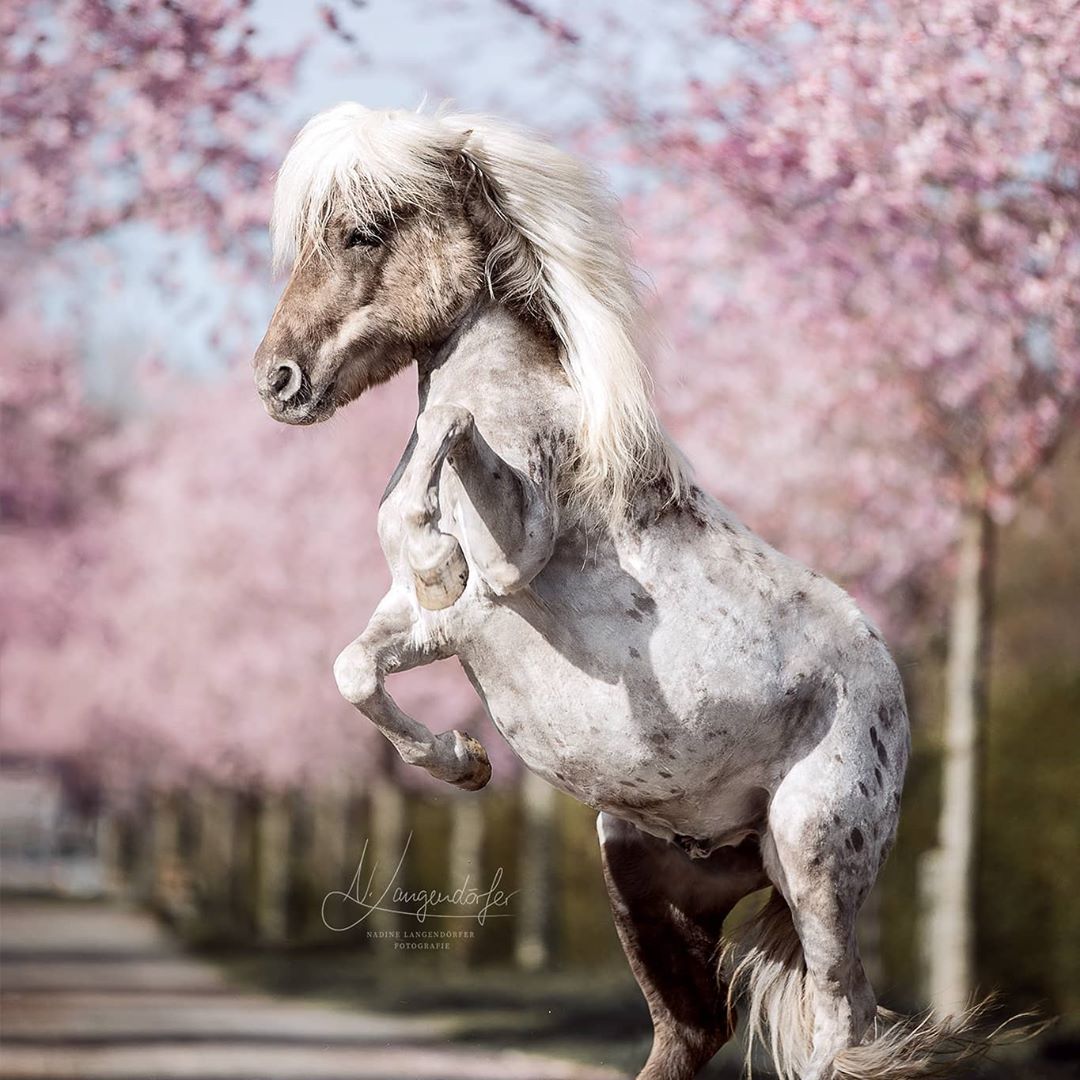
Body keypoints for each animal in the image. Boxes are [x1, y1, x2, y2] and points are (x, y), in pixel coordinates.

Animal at [252, 104, 992, 1080]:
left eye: (362, 232)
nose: (277, 381)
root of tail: (893, 693)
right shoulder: (420, 621)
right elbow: (353, 669)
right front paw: (464, 761)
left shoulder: (505, 569)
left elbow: (454, 443)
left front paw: (436, 548)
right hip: (646, 882)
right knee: (695, 1031)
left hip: (815, 864)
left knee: (843, 1028)